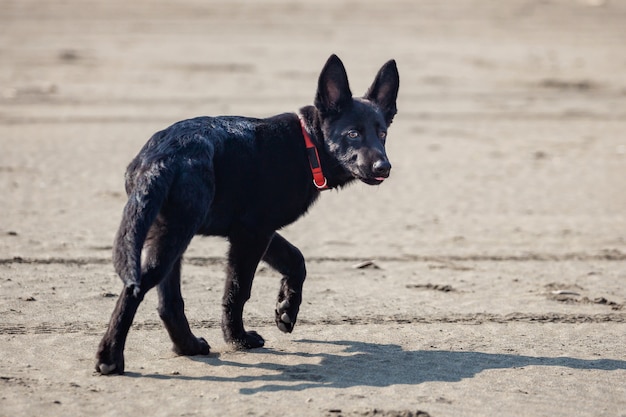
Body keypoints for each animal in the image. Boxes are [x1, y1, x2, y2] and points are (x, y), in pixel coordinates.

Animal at [96, 54, 400, 374]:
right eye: (353, 134)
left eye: (382, 134)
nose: (384, 167)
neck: (308, 146)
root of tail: (161, 155)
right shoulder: (252, 235)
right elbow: (238, 290)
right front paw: (238, 338)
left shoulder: (254, 230)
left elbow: (296, 259)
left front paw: (286, 310)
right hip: (175, 235)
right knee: (135, 291)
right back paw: (110, 357)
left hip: (169, 235)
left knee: (168, 302)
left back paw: (188, 346)